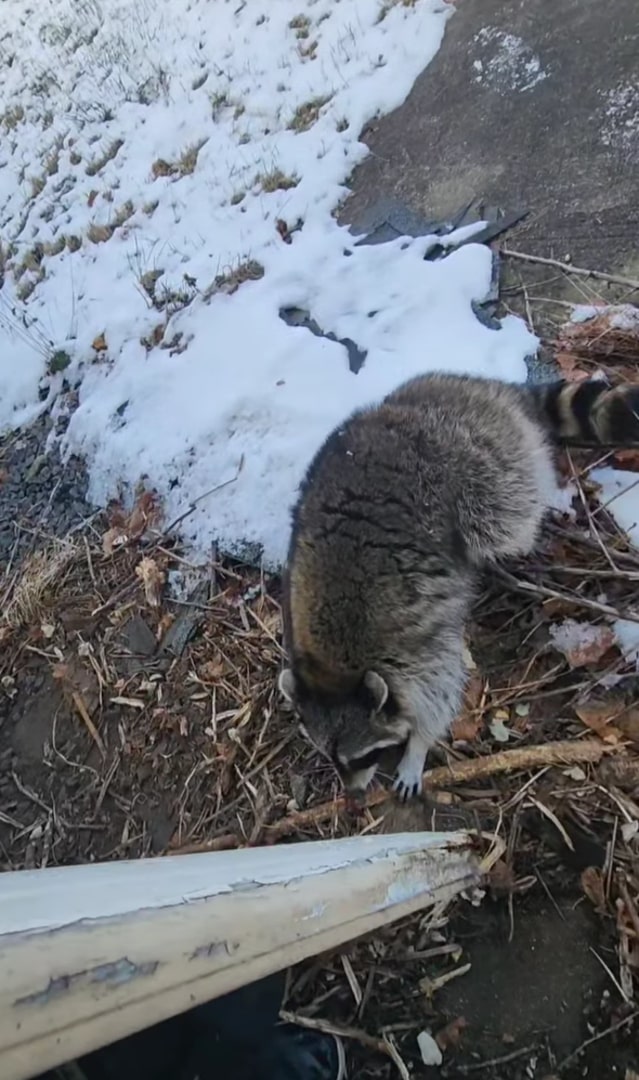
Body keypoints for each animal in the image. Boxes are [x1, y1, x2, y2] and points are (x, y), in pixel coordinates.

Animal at [278, 373, 639, 801]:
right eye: (331, 757)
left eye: (364, 756)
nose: (352, 797)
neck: (332, 670)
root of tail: (471, 387)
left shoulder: (417, 646)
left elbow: (440, 691)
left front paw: (417, 748)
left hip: (480, 462)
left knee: (505, 519)